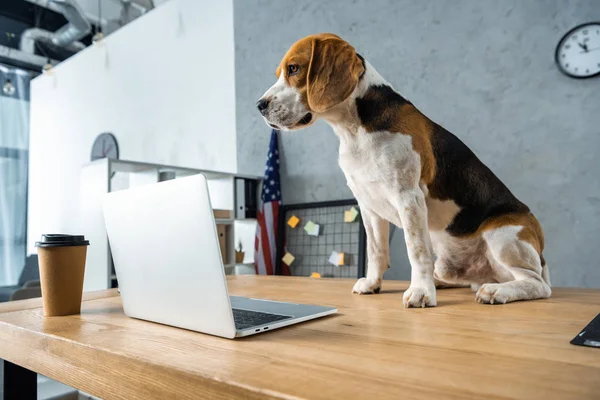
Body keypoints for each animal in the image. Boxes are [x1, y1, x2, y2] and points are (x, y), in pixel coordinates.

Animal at [255, 34, 552, 308]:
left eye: (294, 69)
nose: (260, 105)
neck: (354, 130)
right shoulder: (368, 205)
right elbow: (376, 251)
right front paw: (372, 284)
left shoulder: (408, 197)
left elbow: (416, 250)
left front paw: (421, 292)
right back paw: (445, 282)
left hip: (504, 236)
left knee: (537, 284)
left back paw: (496, 291)